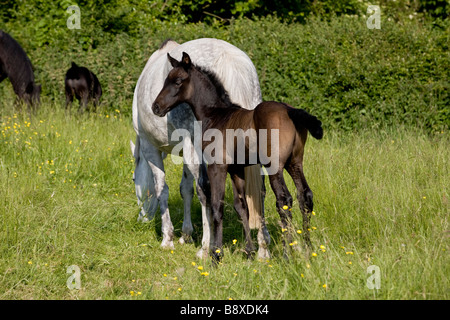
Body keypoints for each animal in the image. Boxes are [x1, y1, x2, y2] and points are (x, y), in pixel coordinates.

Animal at [155, 52, 324, 262]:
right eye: (165, 80)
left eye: (178, 81)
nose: (156, 107)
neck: (215, 115)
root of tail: (290, 110)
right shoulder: (237, 170)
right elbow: (241, 206)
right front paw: (249, 252)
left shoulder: (217, 167)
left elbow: (217, 207)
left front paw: (216, 255)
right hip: (295, 163)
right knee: (305, 197)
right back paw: (308, 250)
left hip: (274, 166)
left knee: (284, 201)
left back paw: (287, 254)